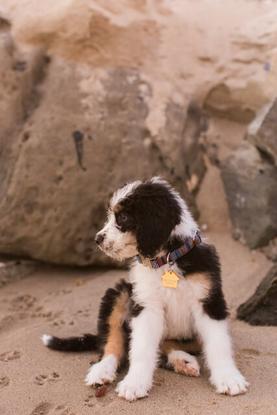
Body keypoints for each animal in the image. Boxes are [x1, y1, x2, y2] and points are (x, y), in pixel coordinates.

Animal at [41, 177, 248, 402]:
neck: (167, 259)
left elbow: (219, 343)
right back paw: (102, 371)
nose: (98, 239)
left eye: (123, 217)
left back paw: (182, 361)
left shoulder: (209, 300)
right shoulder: (146, 305)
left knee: (167, 344)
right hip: (120, 293)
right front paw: (134, 383)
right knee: (114, 342)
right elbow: (140, 348)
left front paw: (229, 378)